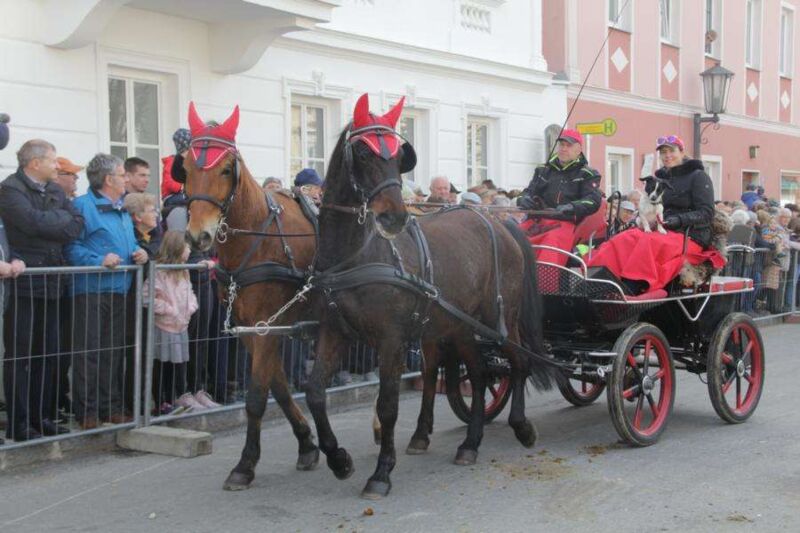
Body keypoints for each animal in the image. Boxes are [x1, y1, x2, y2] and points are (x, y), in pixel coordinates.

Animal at [182, 102, 320, 490]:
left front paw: (245, 464)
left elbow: (258, 396)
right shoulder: (250, 329)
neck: (259, 236)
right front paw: (307, 444)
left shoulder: (266, 326)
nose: (198, 236)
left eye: (226, 169)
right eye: (185, 167)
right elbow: (279, 386)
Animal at [304, 93, 556, 499]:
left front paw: (381, 472)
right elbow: (313, 393)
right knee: (479, 373)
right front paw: (338, 459)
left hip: (499, 317)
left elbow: (387, 405)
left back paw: (520, 425)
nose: (394, 217)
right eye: (363, 153)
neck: (356, 256)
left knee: (517, 362)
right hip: (458, 325)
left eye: (398, 156)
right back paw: (469, 442)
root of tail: (499, 223)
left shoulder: (390, 341)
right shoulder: (333, 332)